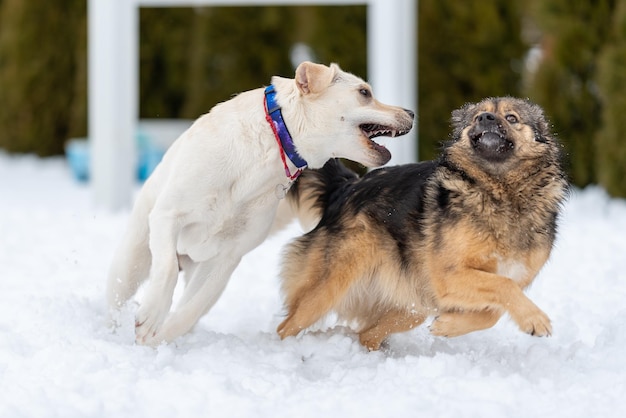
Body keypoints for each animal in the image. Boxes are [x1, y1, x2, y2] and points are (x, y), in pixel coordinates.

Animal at [105, 60, 412, 344]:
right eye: (364, 92)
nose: (411, 113)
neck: (272, 146)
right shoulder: (168, 216)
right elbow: (167, 269)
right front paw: (150, 318)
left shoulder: (228, 256)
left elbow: (192, 310)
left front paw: (160, 338)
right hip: (132, 259)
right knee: (120, 296)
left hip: (199, 268)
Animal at [276, 97, 568, 350]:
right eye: (477, 116)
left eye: (511, 118)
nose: (485, 118)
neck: (500, 191)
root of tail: (345, 187)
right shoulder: (449, 275)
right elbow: (503, 286)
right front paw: (535, 320)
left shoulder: (491, 282)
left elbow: (493, 312)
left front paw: (447, 326)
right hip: (327, 288)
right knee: (286, 327)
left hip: (411, 305)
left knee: (367, 334)